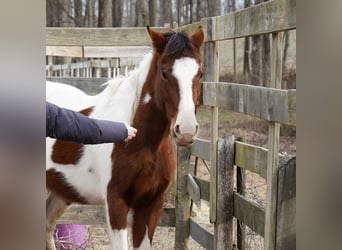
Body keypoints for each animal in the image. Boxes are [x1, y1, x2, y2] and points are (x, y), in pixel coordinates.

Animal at [46, 26, 204, 249]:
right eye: (164, 73)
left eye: (200, 73)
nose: (187, 130)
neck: (144, 144)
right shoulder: (116, 204)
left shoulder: (151, 206)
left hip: (58, 193)